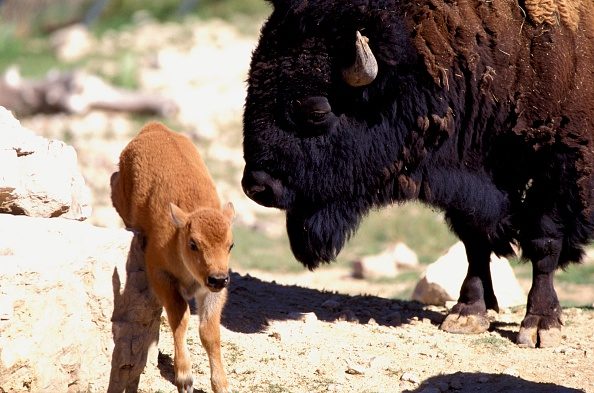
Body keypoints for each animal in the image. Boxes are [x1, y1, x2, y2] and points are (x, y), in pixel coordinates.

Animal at [111, 121, 234, 390]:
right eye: (193, 243)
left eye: (231, 245)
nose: (218, 278)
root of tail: (154, 127)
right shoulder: (161, 275)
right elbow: (180, 317)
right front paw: (185, 379)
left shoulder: (212, 291)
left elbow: (209, 332)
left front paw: (221, 385)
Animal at [239, 0, 592, 346]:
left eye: (317, 111)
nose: (258, 187)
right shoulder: (468, 181)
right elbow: (475, 240)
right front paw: (466, 314)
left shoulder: (559, 166)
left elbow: (543, 242)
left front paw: (541, 325)